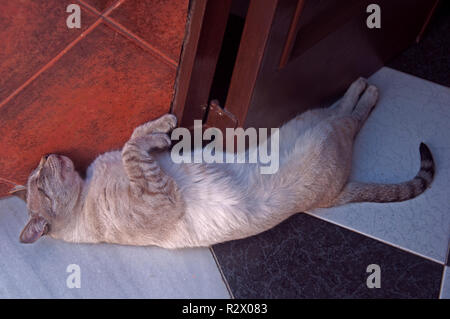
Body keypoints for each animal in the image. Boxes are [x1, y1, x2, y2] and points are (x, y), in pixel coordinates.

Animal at [8, 79, 434, 249]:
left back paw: (360, 84)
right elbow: (132, 148)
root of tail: (335, 196)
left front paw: (163, 131)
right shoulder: (159, 195)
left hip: (305, 122)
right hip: (326, 135)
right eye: (39, 181)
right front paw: (164, 129)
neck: (87, 187)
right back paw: (368, 88)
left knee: (340, 109)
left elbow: (136, 137)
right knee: (352, 116)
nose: (45, 155)